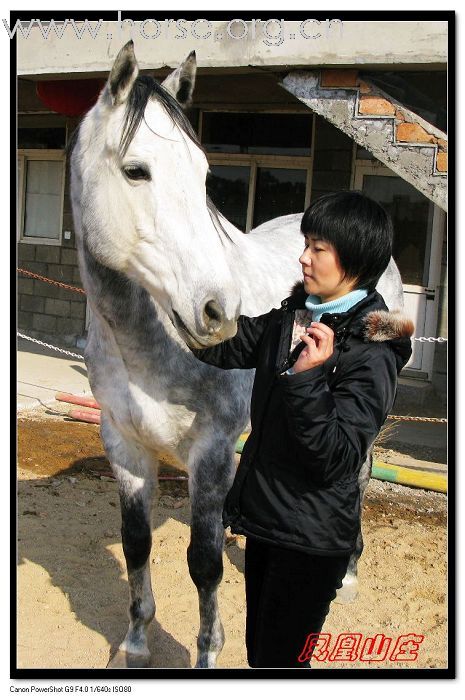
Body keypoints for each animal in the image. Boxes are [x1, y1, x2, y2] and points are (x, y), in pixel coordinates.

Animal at [70, 42, 402, 668]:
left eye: (203, 175)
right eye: (135, 171)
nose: (218, 311)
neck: (143, 344)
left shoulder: (211, 450)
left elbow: (204, 565)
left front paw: (207, 652)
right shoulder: (123, 445)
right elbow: (135, 545)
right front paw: (135, 642)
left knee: (359, 475)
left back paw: (346, 572)